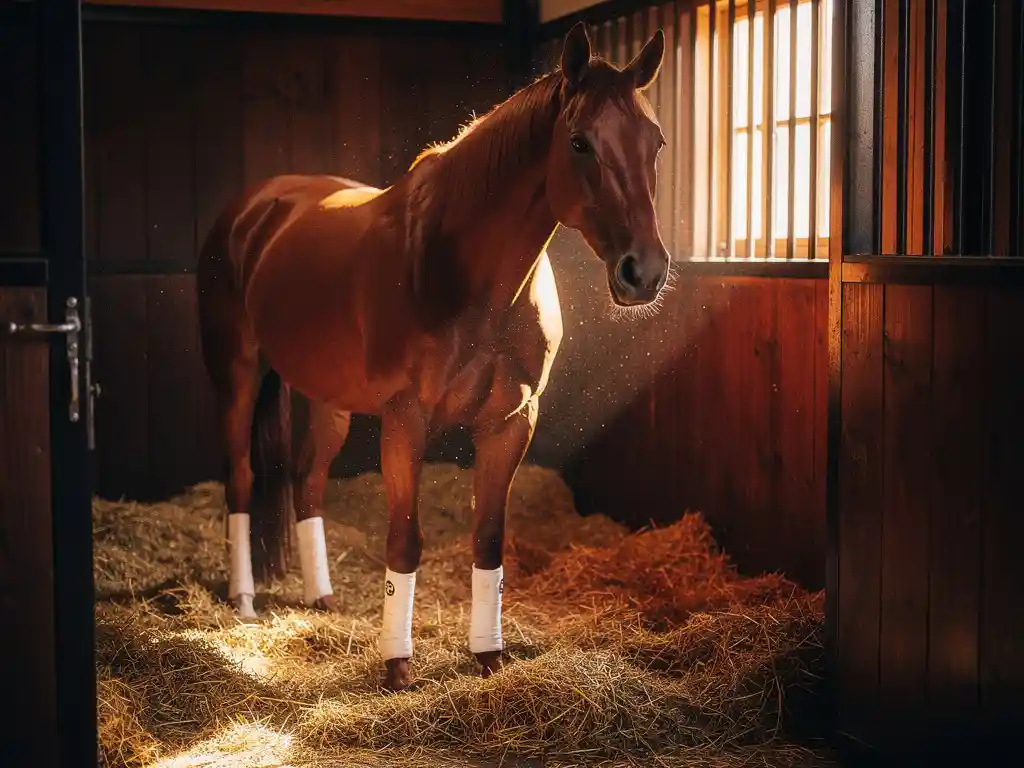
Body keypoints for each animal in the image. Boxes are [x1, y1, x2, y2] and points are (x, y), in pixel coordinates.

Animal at [196, 21, 671, 691]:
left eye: (654, 143)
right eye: (579, 142)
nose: (644, 272)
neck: (468, 274)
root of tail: (255, 207)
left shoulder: (510, 421)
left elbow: (490, 539)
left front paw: (489, 658)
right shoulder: (406, 420)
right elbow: (404, 542)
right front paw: (397, 666)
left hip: (329, 399)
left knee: (306, 481)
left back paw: (321, 597)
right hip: (236, 376)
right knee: (240, 479)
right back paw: (243, 600)